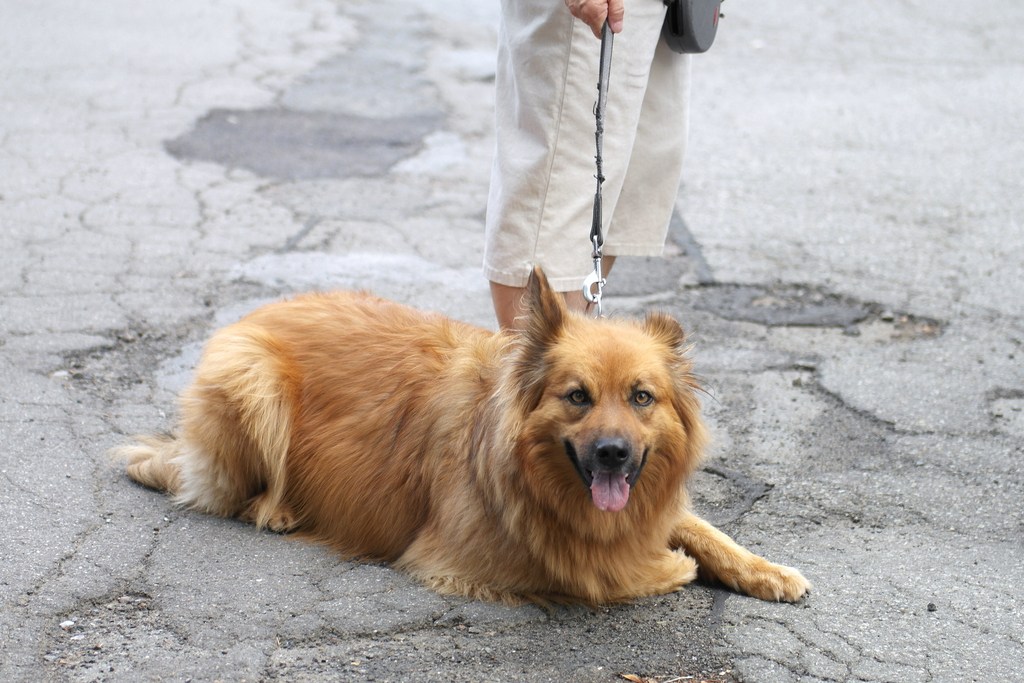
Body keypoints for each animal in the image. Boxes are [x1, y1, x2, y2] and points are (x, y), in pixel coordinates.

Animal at [117, 266, 806, 602]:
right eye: (577, 397)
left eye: (642, 398)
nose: (612, 454)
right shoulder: (471, 558)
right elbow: (601, 573)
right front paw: (672, 567)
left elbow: (707, 532)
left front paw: (764, 570)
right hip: (253, 383)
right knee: (236, 492)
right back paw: (277, 509)